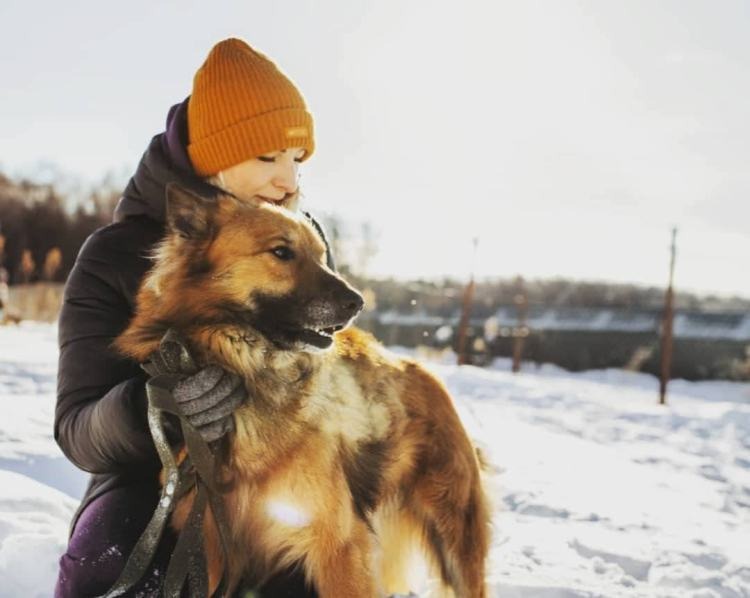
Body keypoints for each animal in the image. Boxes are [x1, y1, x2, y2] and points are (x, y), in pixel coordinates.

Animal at [116, 185, 494, 596]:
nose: (358, 302)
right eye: (282, 252)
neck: (252, 378)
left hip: (456, 542)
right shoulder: (208, 544)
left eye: (321, 256)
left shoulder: (337, 544)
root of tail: (424, 372)